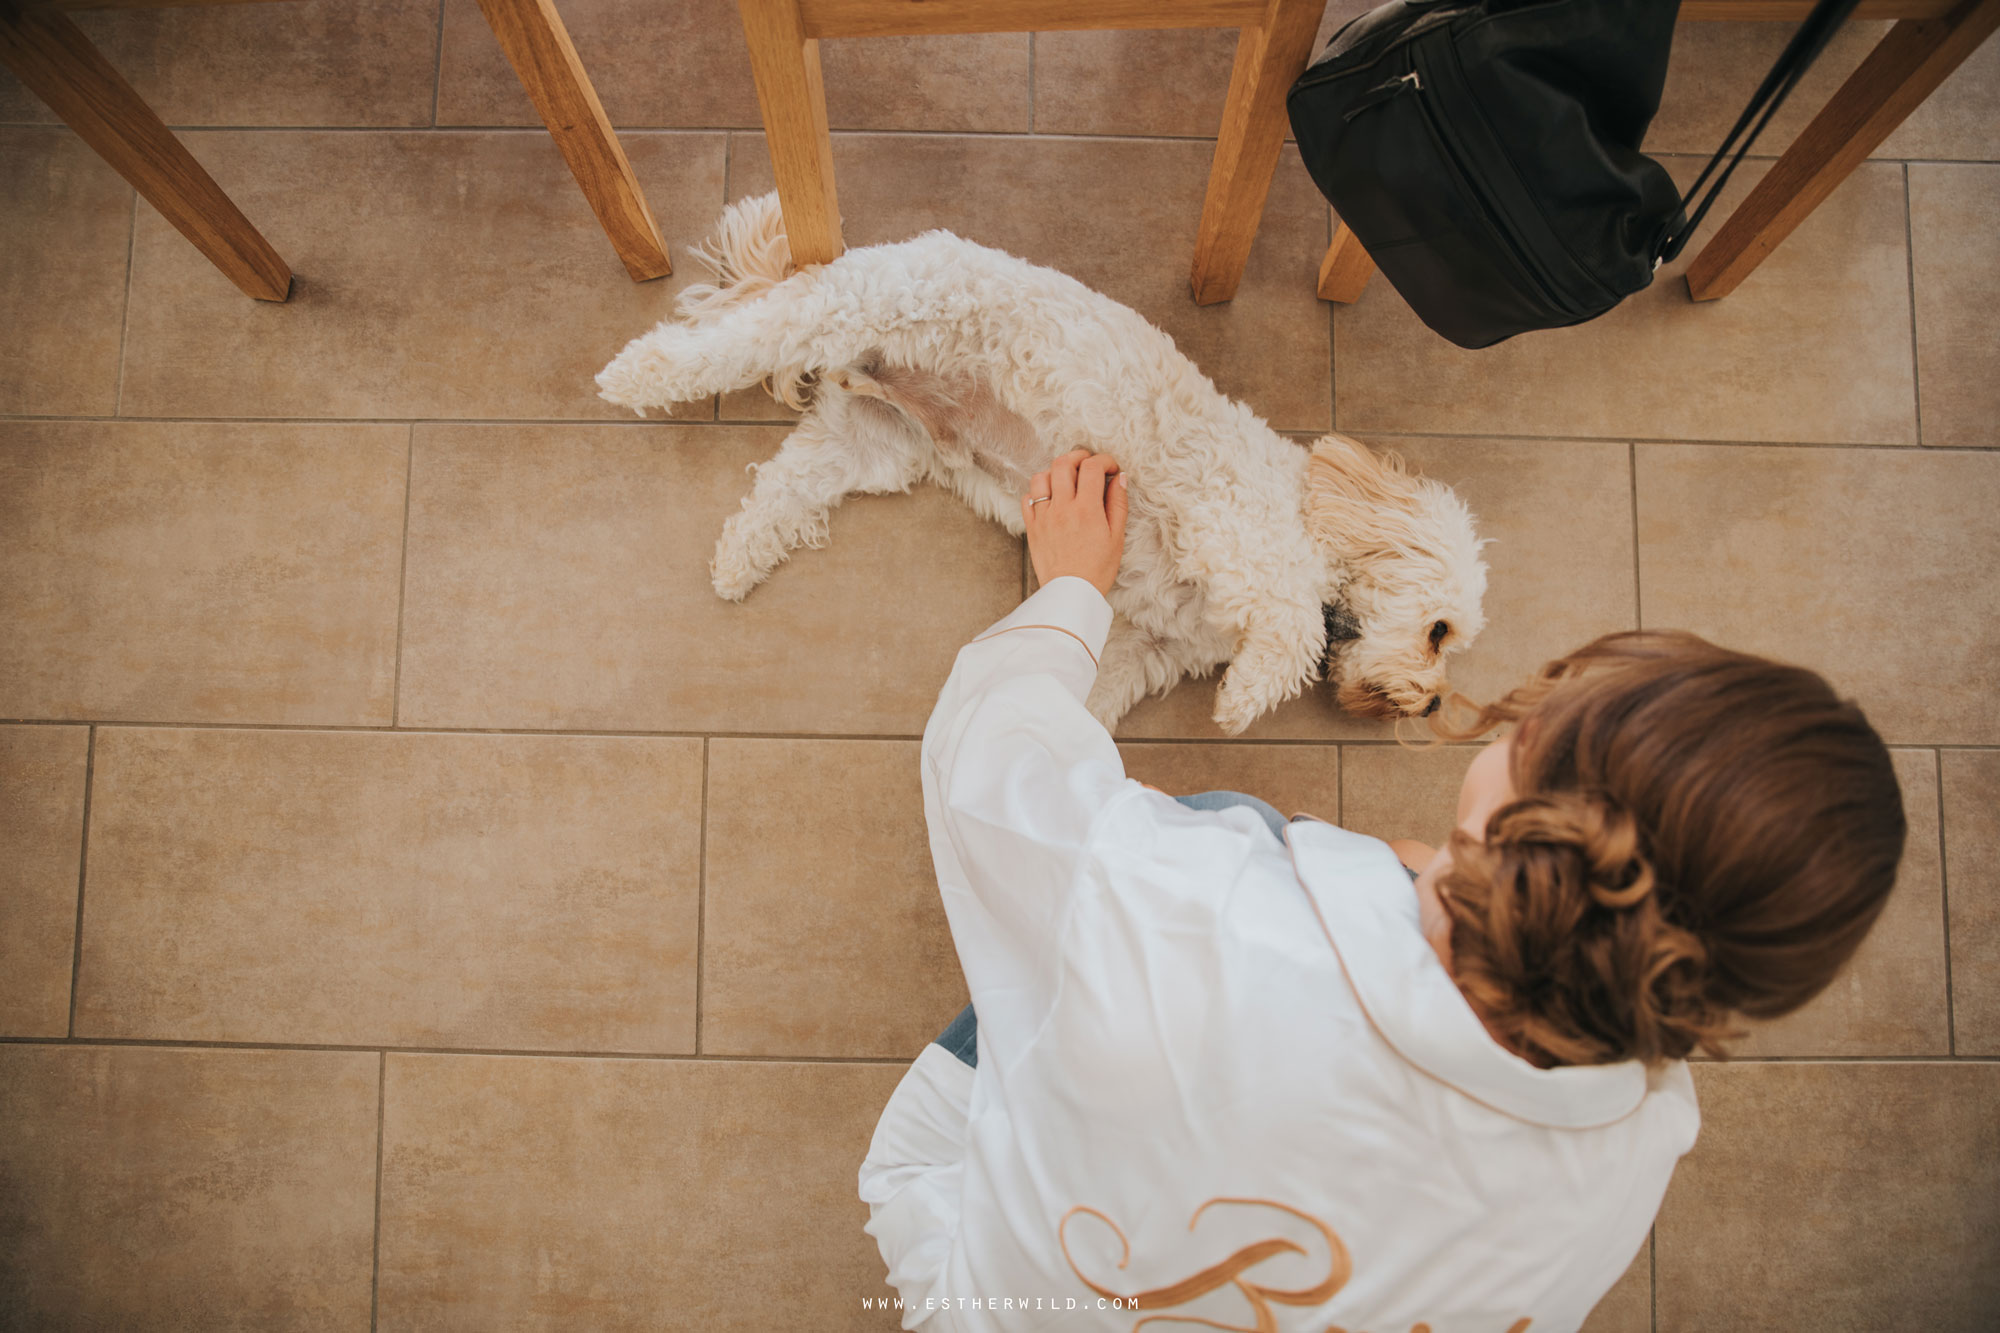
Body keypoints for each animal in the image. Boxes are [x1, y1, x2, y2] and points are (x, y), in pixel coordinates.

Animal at [592, 196, 1488, 732]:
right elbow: (1294, 626)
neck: (1314, 517)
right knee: (729, 343)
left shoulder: (1143, 643)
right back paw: (639, 373)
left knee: (784, 489)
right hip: (854, 308)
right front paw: (1247, 697)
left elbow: (1092, 685)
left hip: (873, 446)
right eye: (1439, 630)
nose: (1432, 703)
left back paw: (738, 560)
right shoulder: (1235, 529)